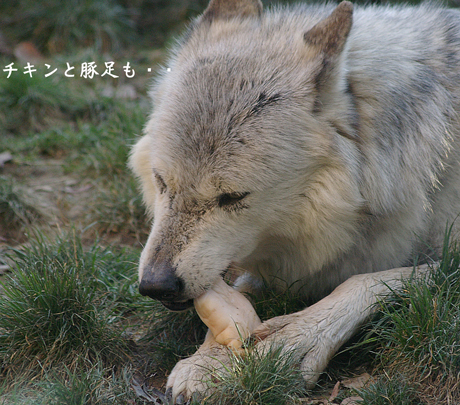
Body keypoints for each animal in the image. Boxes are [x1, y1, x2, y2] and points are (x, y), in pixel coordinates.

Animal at [127, 0, 460, 398]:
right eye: (162, 182)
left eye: (232, 197)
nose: (155, 285)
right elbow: (240, 292)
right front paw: (211, 359)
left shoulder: (446, 262)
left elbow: (364, 282)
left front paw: (284, 344)